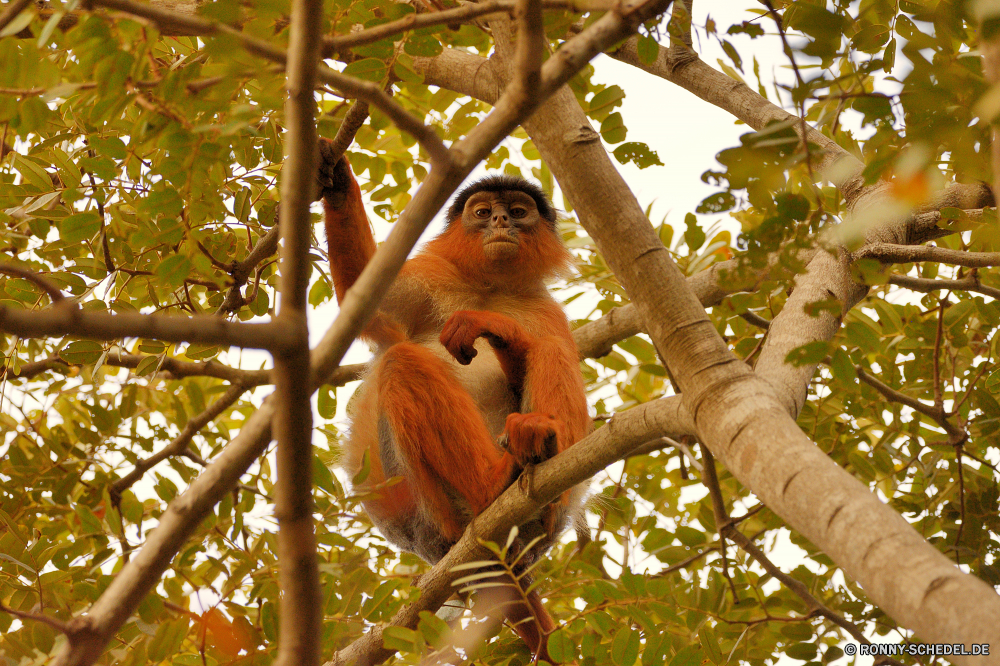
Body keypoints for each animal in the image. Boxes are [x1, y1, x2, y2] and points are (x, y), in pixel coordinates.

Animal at [316, 139, 588, 660]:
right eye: (482, 213)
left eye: (517, 212)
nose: (500, 221)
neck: (490, 287)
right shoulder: (431, 275)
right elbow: (369, 306)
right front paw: (338, 181)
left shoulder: (546, 310)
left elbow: (534, 344)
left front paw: (498, 330)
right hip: (432, 511)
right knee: (401, 362)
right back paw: (494, 485)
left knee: (551, 352)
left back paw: (534, 455)